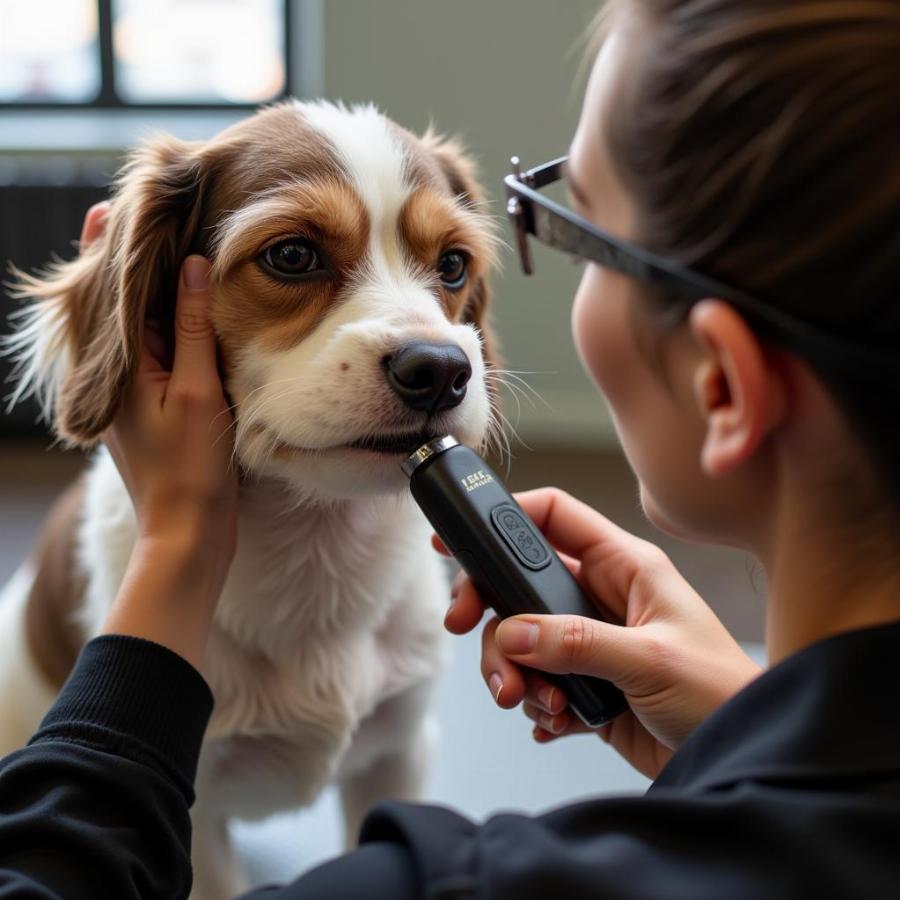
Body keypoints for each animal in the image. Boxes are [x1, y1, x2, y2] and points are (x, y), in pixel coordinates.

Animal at [0, 100, 500, 900]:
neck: (315, 547)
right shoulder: (195, 820)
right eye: (292, 256)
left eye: (452, 264)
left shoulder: (398, 754)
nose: (441, 370)